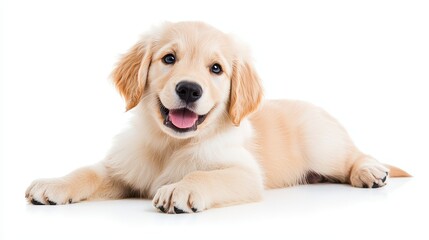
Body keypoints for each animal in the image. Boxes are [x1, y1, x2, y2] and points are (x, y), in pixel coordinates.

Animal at [25, 22, 410, 214]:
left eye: (216, 69)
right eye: (169, 59)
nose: (189, 90)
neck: (171, 144)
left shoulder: (244, 174)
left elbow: (204, 175)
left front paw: (179, 189)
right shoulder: (123, 168)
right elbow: (87, 171)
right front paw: (54, 184)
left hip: (323, 144)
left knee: (354, 155)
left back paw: (371, 171)